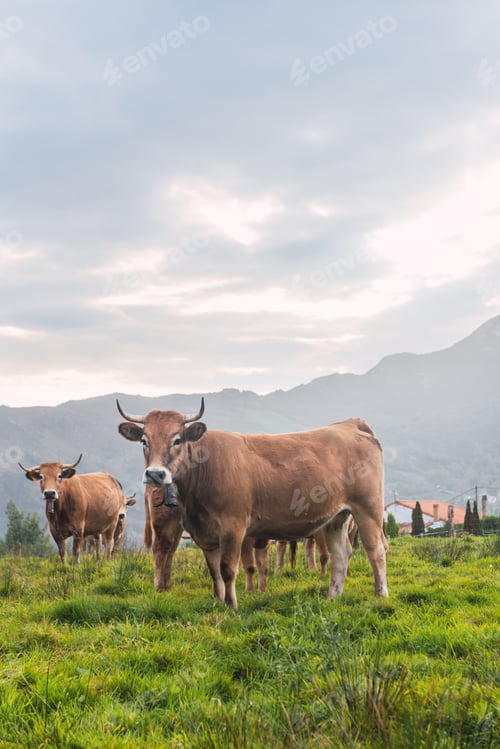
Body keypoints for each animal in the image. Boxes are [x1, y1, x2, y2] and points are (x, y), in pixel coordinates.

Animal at [117, 399, 388, 608]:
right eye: (144, 440)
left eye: (177, 439)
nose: (155, 474)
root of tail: (350, 425)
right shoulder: (205, 533)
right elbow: (214, 571)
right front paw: (219, 602)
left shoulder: (233, 527)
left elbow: (228, 568)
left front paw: (232, 605)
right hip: (336, 517)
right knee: (340, 555)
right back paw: (333, 597)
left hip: (368, 507)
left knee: (376, 550)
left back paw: (380, 594)